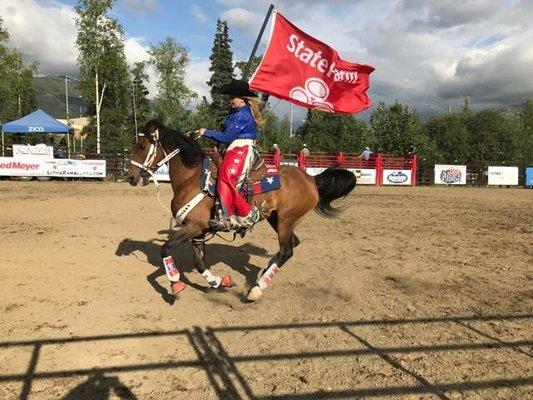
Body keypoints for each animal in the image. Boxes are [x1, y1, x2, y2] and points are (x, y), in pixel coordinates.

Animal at [126, 120, 356, 302]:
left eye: (142, 145)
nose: (130, 176)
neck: (191, 179)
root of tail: (312, 179)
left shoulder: (193, 226)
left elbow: (166, 249)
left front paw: (175, 286)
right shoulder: (198, 231)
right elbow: (199, 263)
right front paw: (220, 282)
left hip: (286, 221)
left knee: (286, 251)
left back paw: (257, 289)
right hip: (276, 219)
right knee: (292, 245)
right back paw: (263, 274)